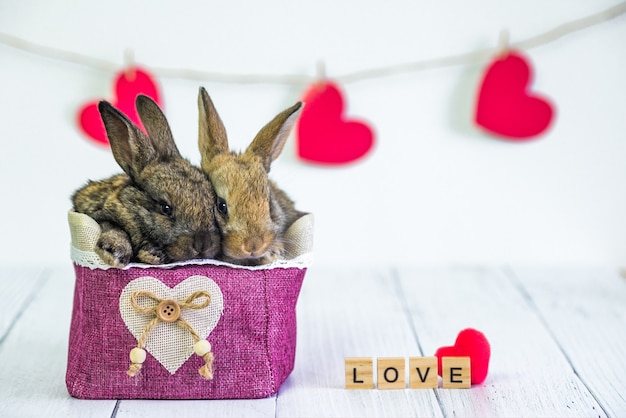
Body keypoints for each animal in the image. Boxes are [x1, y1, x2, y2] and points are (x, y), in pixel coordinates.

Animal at [71, 94, 219, 268]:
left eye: (213, 206)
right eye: (165, 208)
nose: (203, 243)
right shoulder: (101, 216)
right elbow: (115, 228)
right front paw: (115, 253)